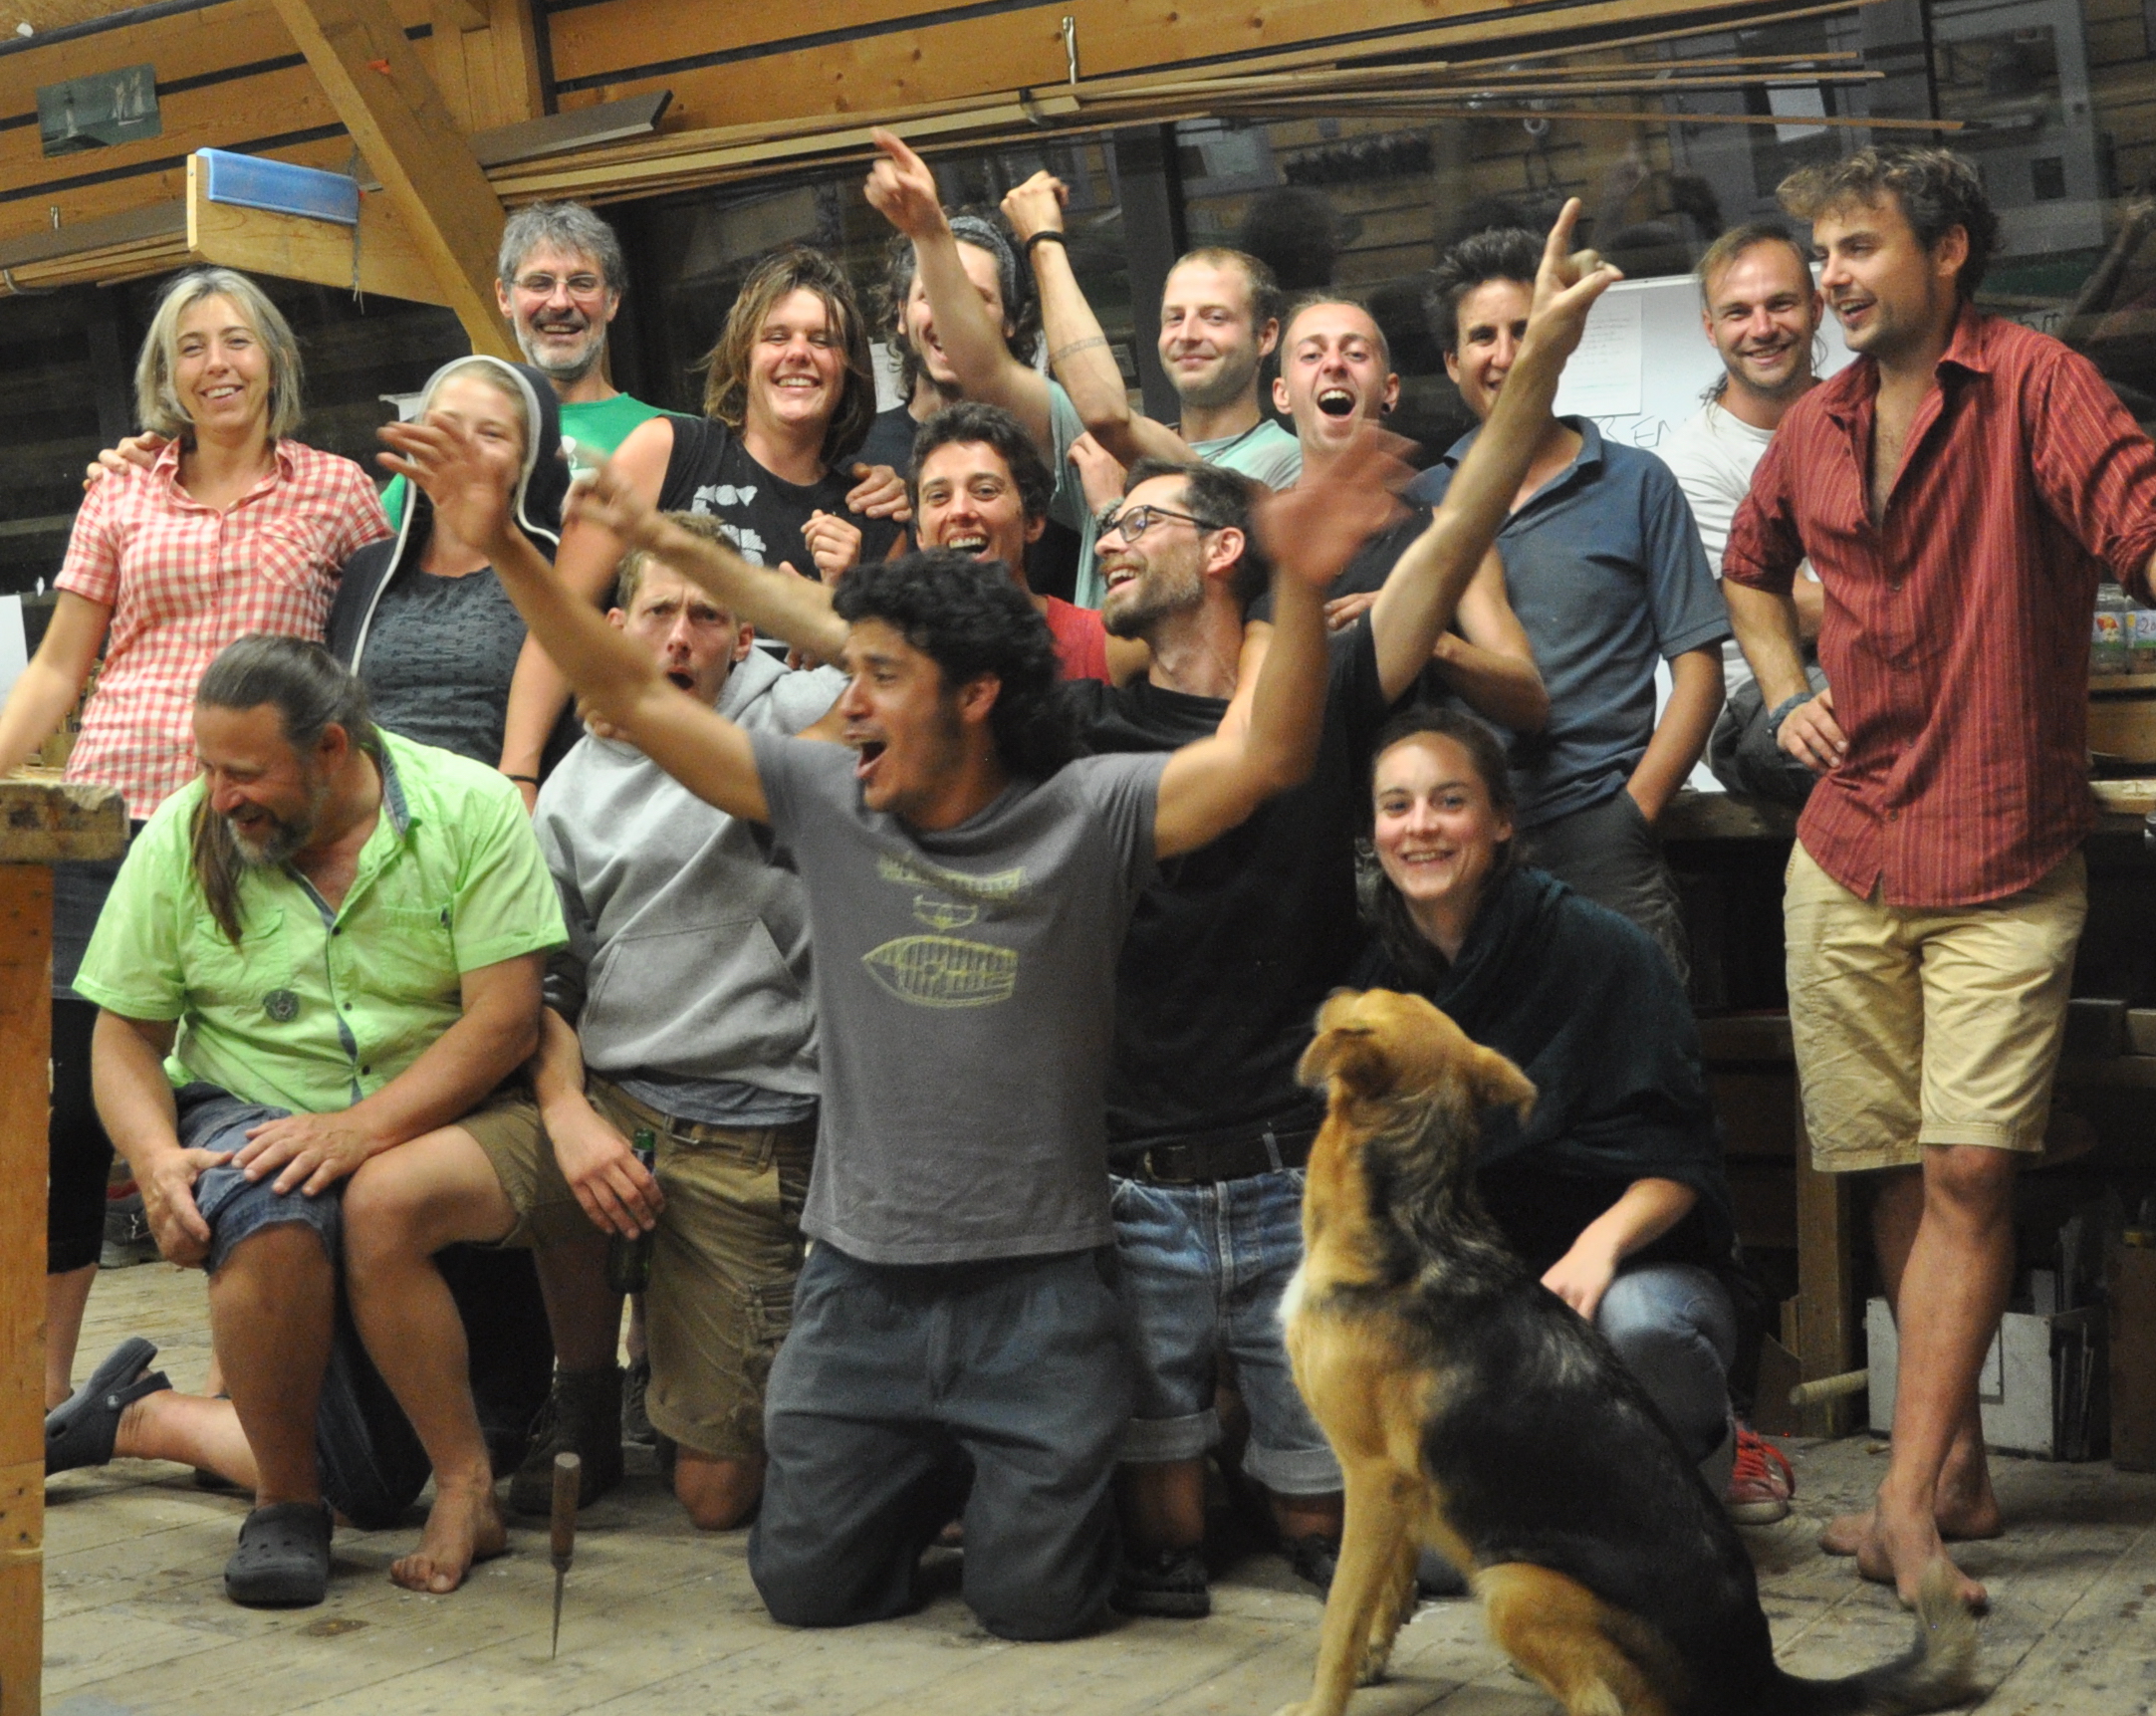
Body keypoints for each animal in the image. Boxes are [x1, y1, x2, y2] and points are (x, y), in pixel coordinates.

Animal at [1268, 991, 1975, 1716]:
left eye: (1367, 999)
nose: (1325, 994)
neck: (1412, 1214)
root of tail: (1757, 1668)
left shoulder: (1370, 1481)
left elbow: (1340, 1620)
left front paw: (1324, 1699)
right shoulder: (1404, 1490)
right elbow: (1386, 1594)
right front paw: (1374, 1661)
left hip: (1513, 1583)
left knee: (1598, 1700)